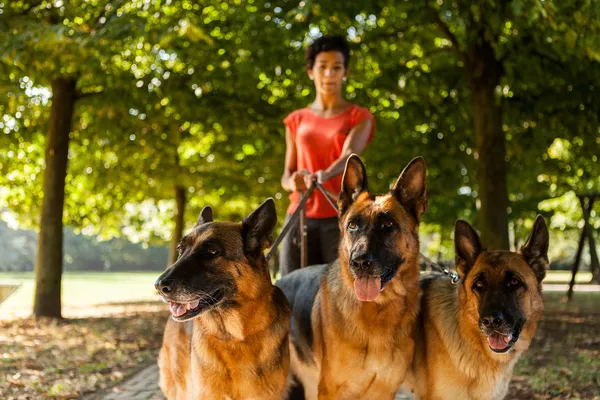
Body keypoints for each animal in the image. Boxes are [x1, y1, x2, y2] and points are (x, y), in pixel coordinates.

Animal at [276, 155, 426, 398]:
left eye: (388, 225)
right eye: (353, 225)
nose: (359, 262)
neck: (378, 309)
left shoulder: (384, 391)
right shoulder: (332, 390)